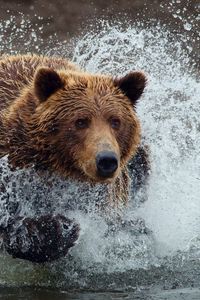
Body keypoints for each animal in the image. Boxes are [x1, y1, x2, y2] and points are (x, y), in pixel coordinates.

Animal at [0, 54, 148, 262]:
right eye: (80, 121)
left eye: (115, 121)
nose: (106, 160)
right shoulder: (12, 172)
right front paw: (60, 228)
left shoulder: (105, 196)